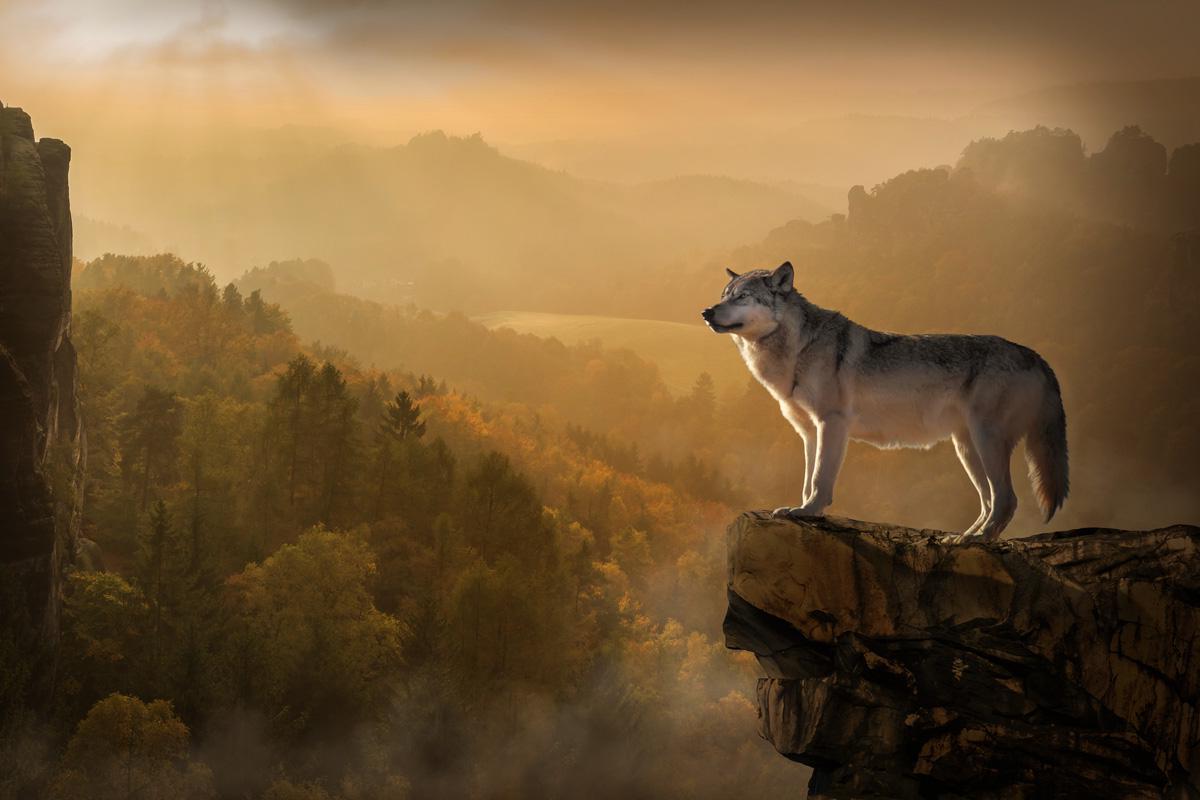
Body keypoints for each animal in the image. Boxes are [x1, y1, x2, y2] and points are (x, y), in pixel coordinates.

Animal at [702, 262, 1068, 542]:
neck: (798, 348)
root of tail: (1036, 356)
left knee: (1006, 499)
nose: (706, 312)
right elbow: (807, 480)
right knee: (989, 501)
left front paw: (810, 511)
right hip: (966, 448)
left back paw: (977, 540)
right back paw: (962, 537)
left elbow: (820, 478)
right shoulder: (809, 432)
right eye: (724, 296)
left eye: (743, 297)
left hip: (986, 441)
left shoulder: (832, 423)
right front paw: (802, 510)